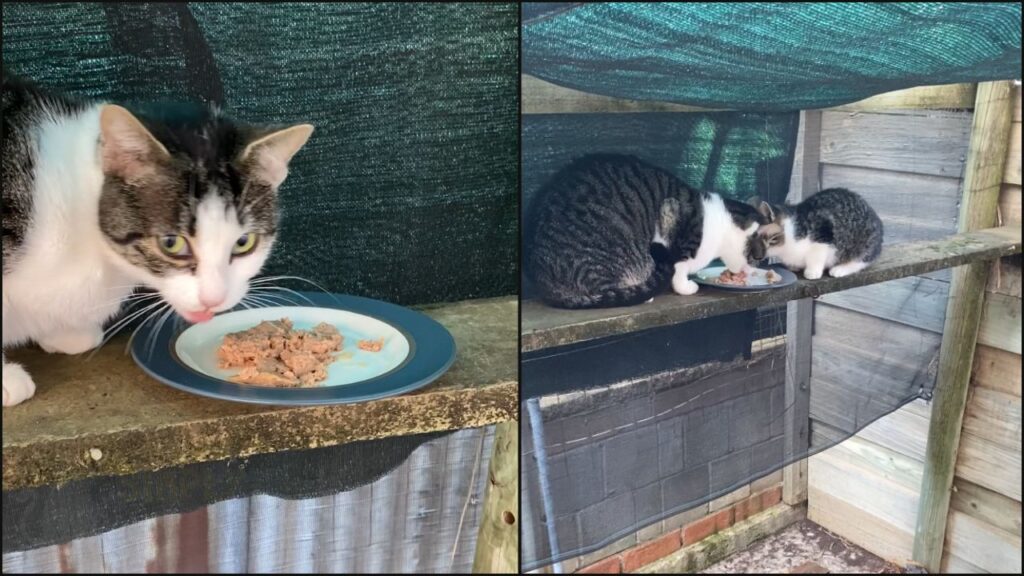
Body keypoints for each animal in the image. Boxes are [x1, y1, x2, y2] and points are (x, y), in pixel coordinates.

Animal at [524, 150, 765, 307]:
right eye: (756, 258)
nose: (752, 270)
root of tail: (543, 279)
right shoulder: (675, 229)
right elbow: (679, 268)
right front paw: (685, 287)